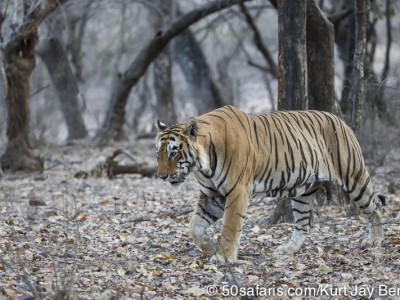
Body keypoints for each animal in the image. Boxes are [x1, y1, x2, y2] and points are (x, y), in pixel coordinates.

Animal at [155, 105, 382, 262]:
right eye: (159, 154)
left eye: (174, 153)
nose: (161, 176)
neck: (203, 166)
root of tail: (339, 119)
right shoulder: (213, 195)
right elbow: (194, 227)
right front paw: (211, 247)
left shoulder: (237, 192)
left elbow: (230, 226)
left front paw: (223, 257)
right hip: (304, 191)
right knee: (304, 224)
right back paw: (288, 249)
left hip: (353, 176)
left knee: (375, 206)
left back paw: (374, 240)